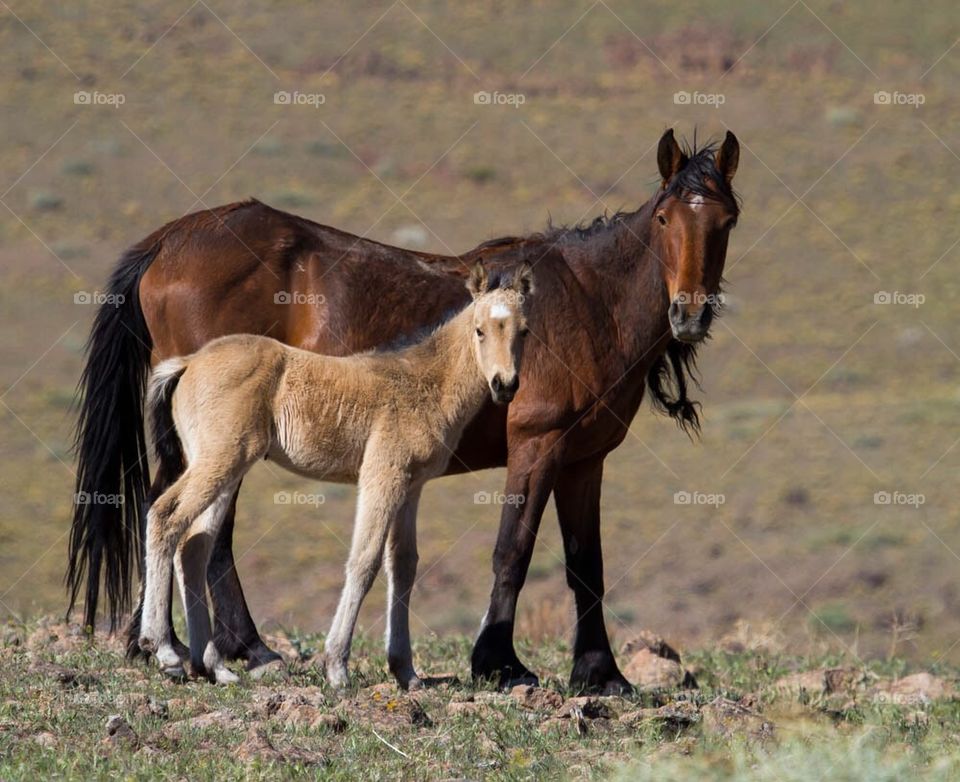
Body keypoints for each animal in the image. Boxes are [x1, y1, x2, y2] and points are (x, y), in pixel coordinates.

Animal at [139, 264, 532, 692]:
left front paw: (407, 673)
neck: (424, 381)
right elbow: (364, 561)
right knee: (165, 516)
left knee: (194, 543)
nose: (505, 385)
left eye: (524, 331)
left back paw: (212, 666)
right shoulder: (382, 473)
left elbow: (404, 565)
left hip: (223, 468)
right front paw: (337, 668)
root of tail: (188, 362)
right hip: (219, 460)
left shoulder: (412, 486)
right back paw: (164, 651)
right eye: (480, 330)